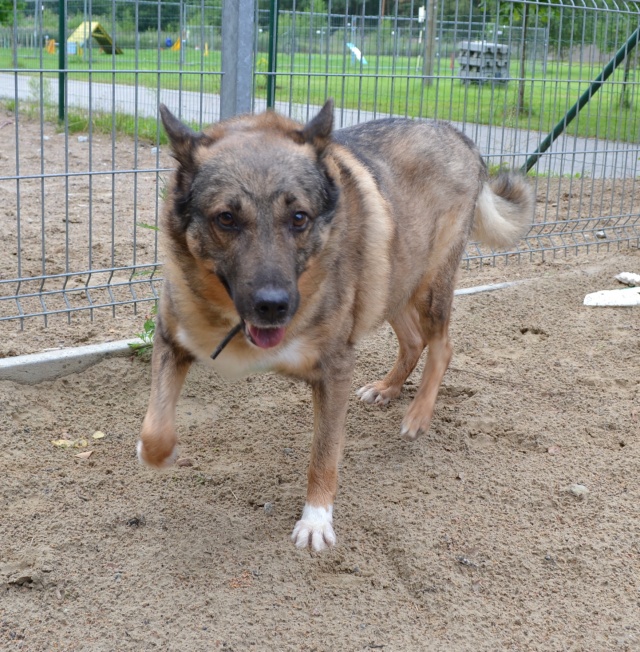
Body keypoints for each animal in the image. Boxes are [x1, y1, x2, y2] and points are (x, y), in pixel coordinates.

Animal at [138, 99, 533, 552]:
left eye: (298, 217)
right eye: (226, 219)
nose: (273, 306)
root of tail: (455, 132)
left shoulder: (334, 370)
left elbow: (324, 454)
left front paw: (316, 518)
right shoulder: (170, 338)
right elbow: (154, 430)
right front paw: (161, 454)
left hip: (429, 286)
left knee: (442, 345)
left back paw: (418, 414)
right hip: (391, 281)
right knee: (413, 340)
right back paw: (387, 388)